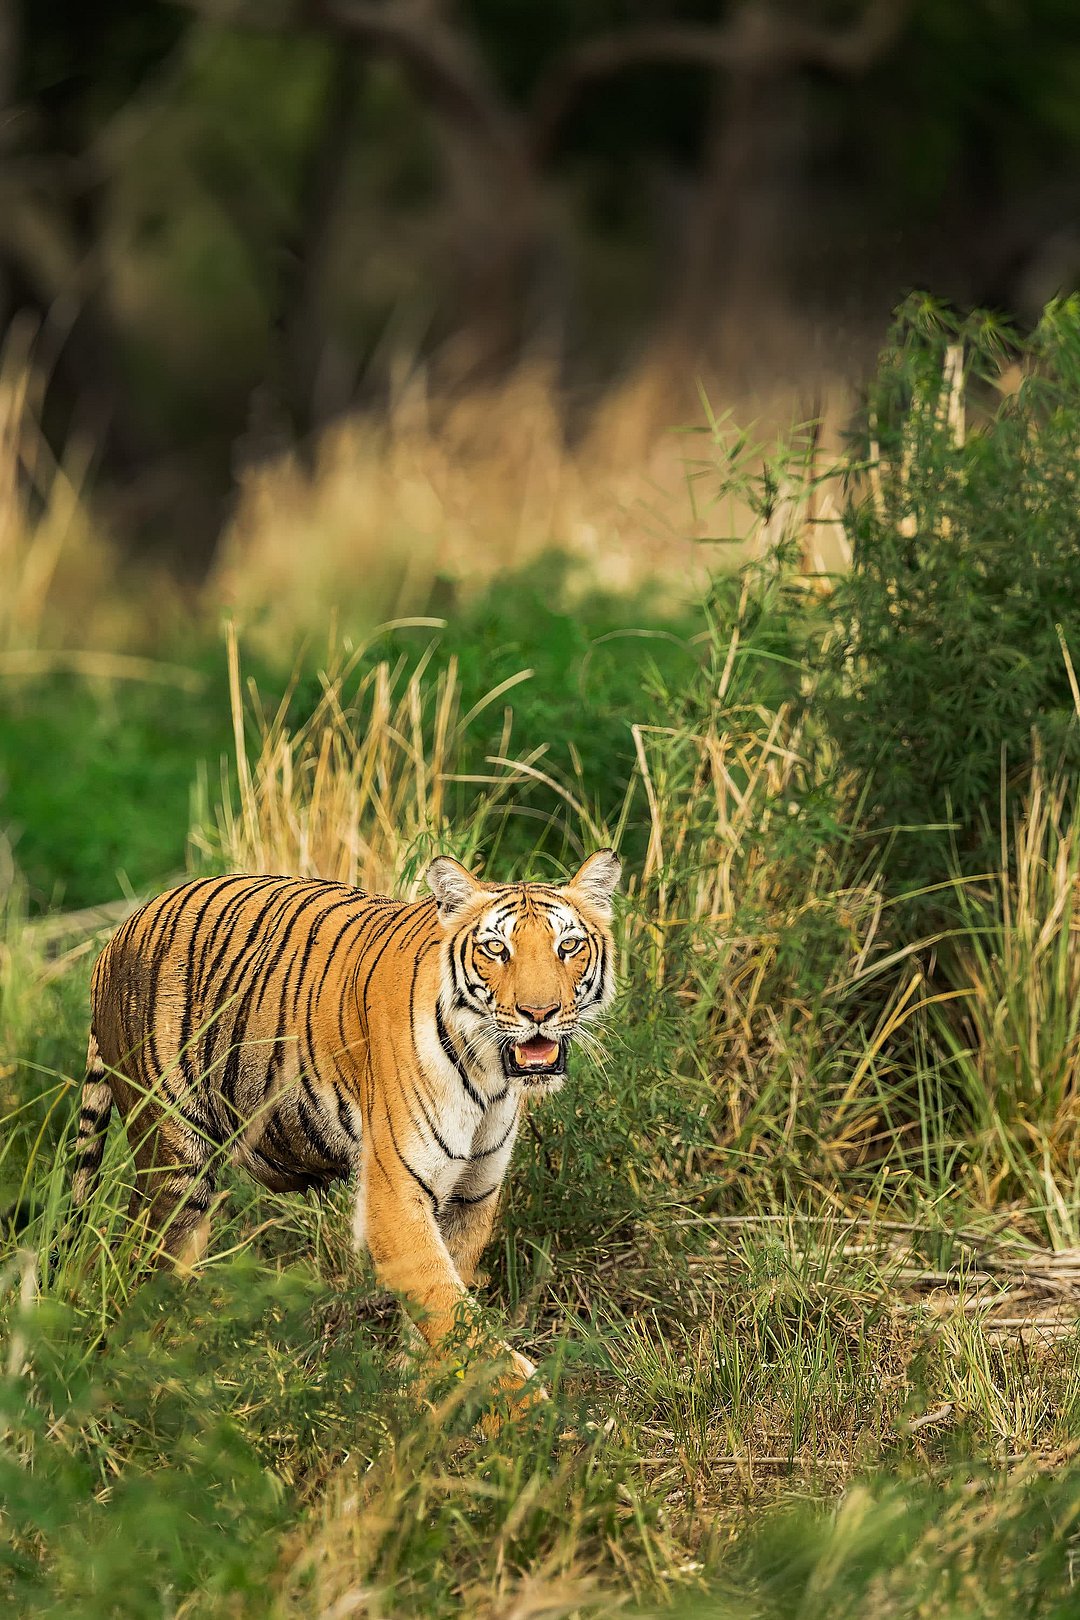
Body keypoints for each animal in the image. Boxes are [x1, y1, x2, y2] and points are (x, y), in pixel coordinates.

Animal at [73, 850, 621, 1397]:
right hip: (173, 1166)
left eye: (568, 946)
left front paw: (424, 1397)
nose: (539, 1012)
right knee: (142, 1265)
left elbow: (442, 1314)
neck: (489, 1075)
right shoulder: (396, 1197)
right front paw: (523, 1403)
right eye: (496, 949)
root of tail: (116, 936)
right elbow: (455, 1315)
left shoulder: (472, 1195)